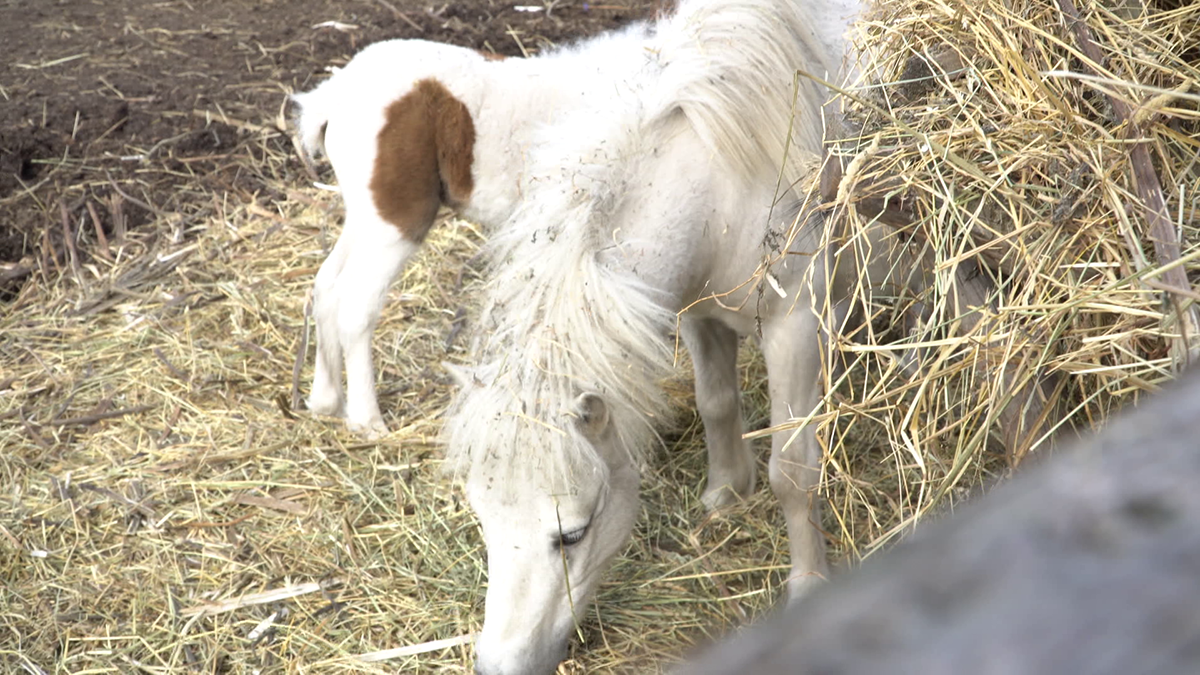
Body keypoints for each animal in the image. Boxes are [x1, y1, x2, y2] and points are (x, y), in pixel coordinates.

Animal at [295, 1, 868, 672]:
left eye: (571, 533)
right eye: (483, 520)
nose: (501, 664)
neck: (722, 174)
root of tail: (336, 92)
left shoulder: (791, 316)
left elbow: (786, 462)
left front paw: (801, 578)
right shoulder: (697, 305)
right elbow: (718, 403)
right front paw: (728, 494)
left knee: (339, 296)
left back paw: (345, 409)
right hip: (384, 223)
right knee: (342, 297)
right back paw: (348, 411)